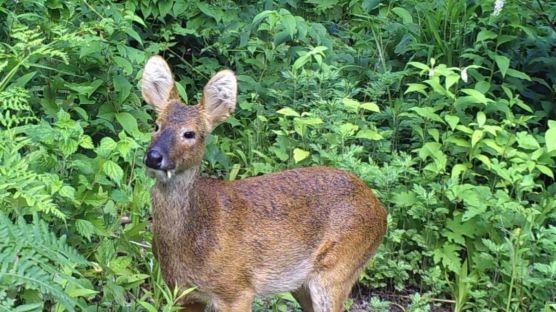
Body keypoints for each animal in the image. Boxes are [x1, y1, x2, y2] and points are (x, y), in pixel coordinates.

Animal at [141, 56, 388, 312]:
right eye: (156, 125)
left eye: (190, 133)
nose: (154, 156)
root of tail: (380, 209)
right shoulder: (183, 293)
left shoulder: (237, 290)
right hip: (304, 283)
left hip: (337, 269)